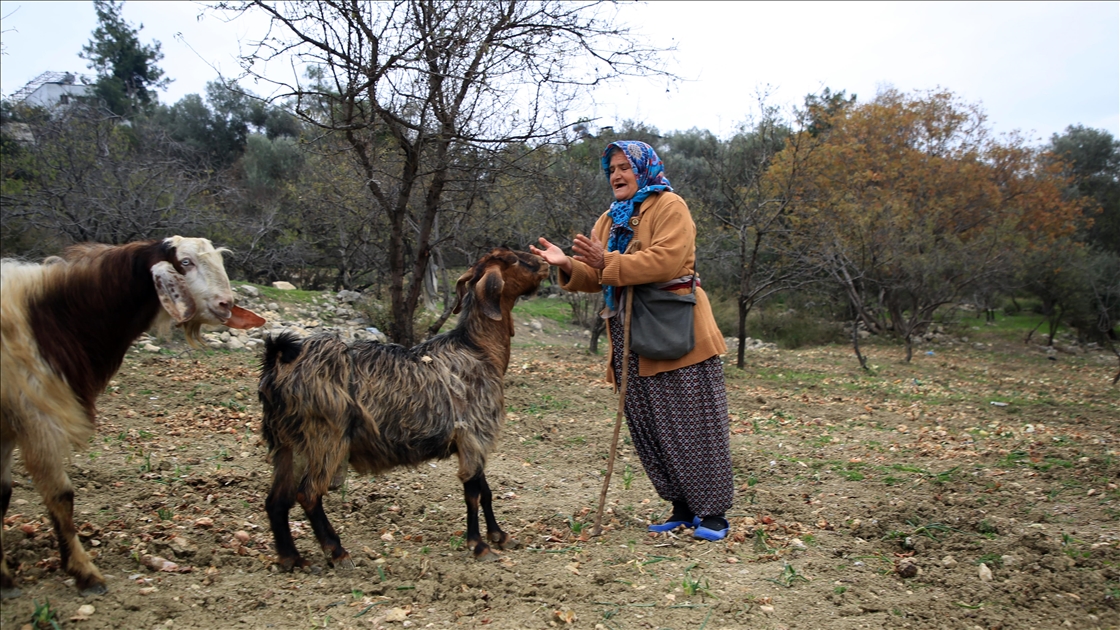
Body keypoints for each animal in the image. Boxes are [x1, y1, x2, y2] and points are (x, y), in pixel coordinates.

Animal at [0, 237, 265, 598]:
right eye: (185, 262)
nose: (226, 304)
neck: (47, 317)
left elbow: (2, 495)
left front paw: (3, 577)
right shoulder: (38, 416)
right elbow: (60, 495)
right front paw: (85, 574)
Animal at [258, 247, 548, 569]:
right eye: (515, 259)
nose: (545, 263)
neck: (478, 350)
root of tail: (278, 362)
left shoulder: (471, 441)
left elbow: (485, 490)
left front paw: (500, 535)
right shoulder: (473, 433)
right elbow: (473, 491)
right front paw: (479, 545)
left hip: (288, 443)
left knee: (276, 500)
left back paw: (291, 558)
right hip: (325, 437)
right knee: (307, 494)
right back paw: (337, 551)